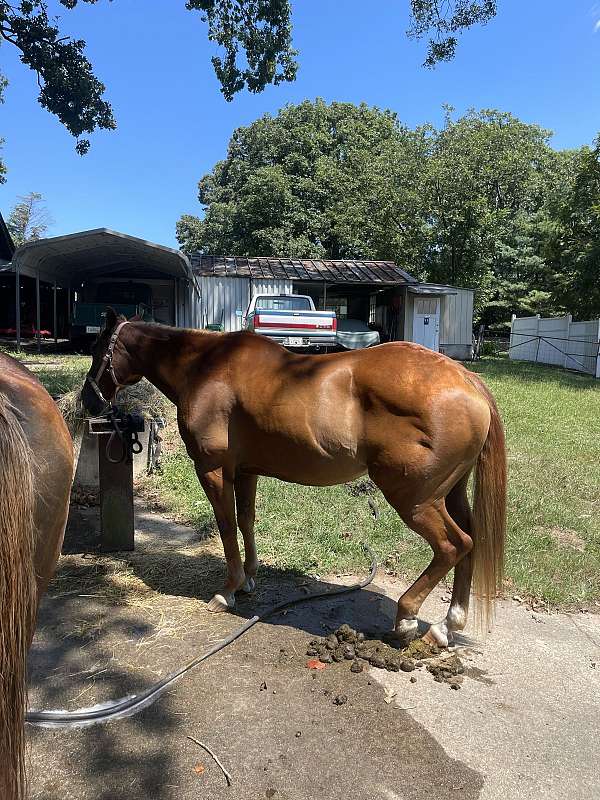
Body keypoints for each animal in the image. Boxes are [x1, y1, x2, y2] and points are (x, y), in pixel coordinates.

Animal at [82, 309, 506, 649]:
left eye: (98, 349)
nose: (88, 399)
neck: (206, 367)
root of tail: (465, 379)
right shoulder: (245, 471)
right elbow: (246, 521)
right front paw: (249, 579)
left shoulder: (214, 469)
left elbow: (225, 525)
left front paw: (228, 591)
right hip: (449, 494)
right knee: (471, 542)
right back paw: (447, 625)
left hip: (415, 500)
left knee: (454, 545)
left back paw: (406, 617)